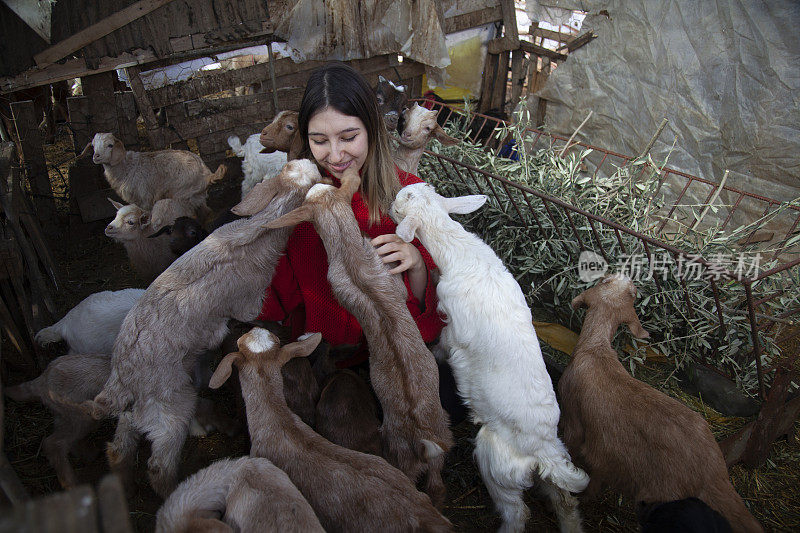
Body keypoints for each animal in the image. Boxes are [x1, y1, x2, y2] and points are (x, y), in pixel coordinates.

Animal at [80, 132, 223, 213]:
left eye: (110, 145)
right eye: (93, 146)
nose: (96, 156)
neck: (126, 167)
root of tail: (206, 173)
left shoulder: (144, 199)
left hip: (182, 194)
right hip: (196, 196)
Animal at [390, 183, 592, 532]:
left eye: (404, 201)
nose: (390, 202)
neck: (462, 255)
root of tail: (543, 448)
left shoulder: (454, 329)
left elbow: (444, 345)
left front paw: (432, 353)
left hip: (496, 464)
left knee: (517, 512)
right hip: (551, 471)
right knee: (566, 503)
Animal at [556, 274, 764, 532]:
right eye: (629, 293)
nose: (625, 276)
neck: (595, 348)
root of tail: (712, 473)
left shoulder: (574, 421)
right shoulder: (604, 456)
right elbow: (596, 480)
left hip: (660, 494)